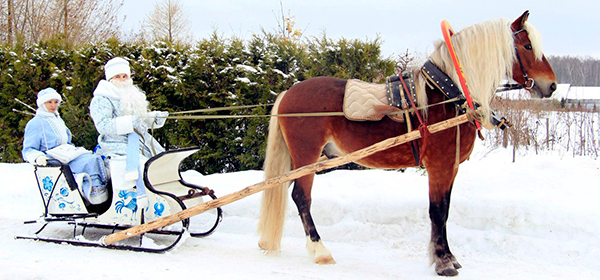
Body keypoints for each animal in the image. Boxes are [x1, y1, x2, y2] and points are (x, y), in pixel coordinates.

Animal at [255, 10, 556, 276]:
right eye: (527, 45)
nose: (551, 85)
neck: (447, 96)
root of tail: (289, 92)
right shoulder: (440, 166)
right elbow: (437, 212)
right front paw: (443, 262)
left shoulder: (451, 168)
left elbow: (444, 210)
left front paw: (448, 257)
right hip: (306, 155)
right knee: (301, 198)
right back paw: (320, 250)